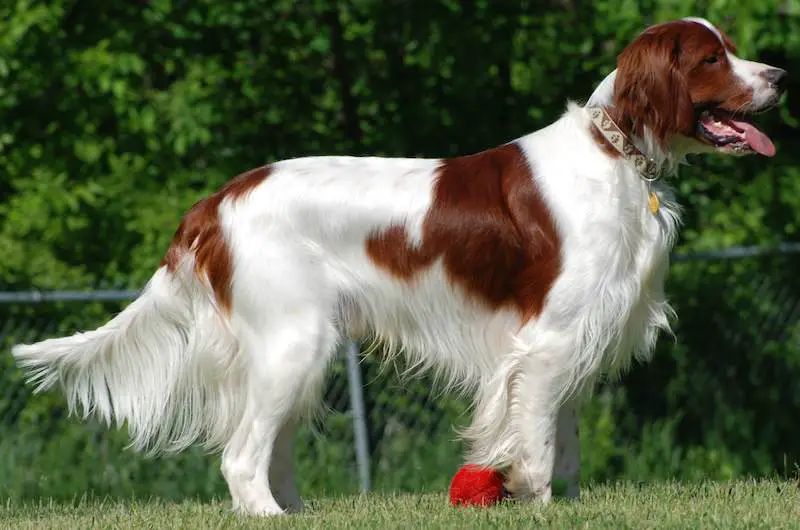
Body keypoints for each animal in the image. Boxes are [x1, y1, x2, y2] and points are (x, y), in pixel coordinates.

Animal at [14, 17, 788, 512]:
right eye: (711, 58)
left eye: (731, 48)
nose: (780, 75)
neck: (616, 154)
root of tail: (216, 201)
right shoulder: (546, 343)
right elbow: (537, 444)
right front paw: (538, 502)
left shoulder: (576, 340)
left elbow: (562, 444)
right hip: (294, 343)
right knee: (241, 455)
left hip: (298, 351)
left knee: (272, 448)